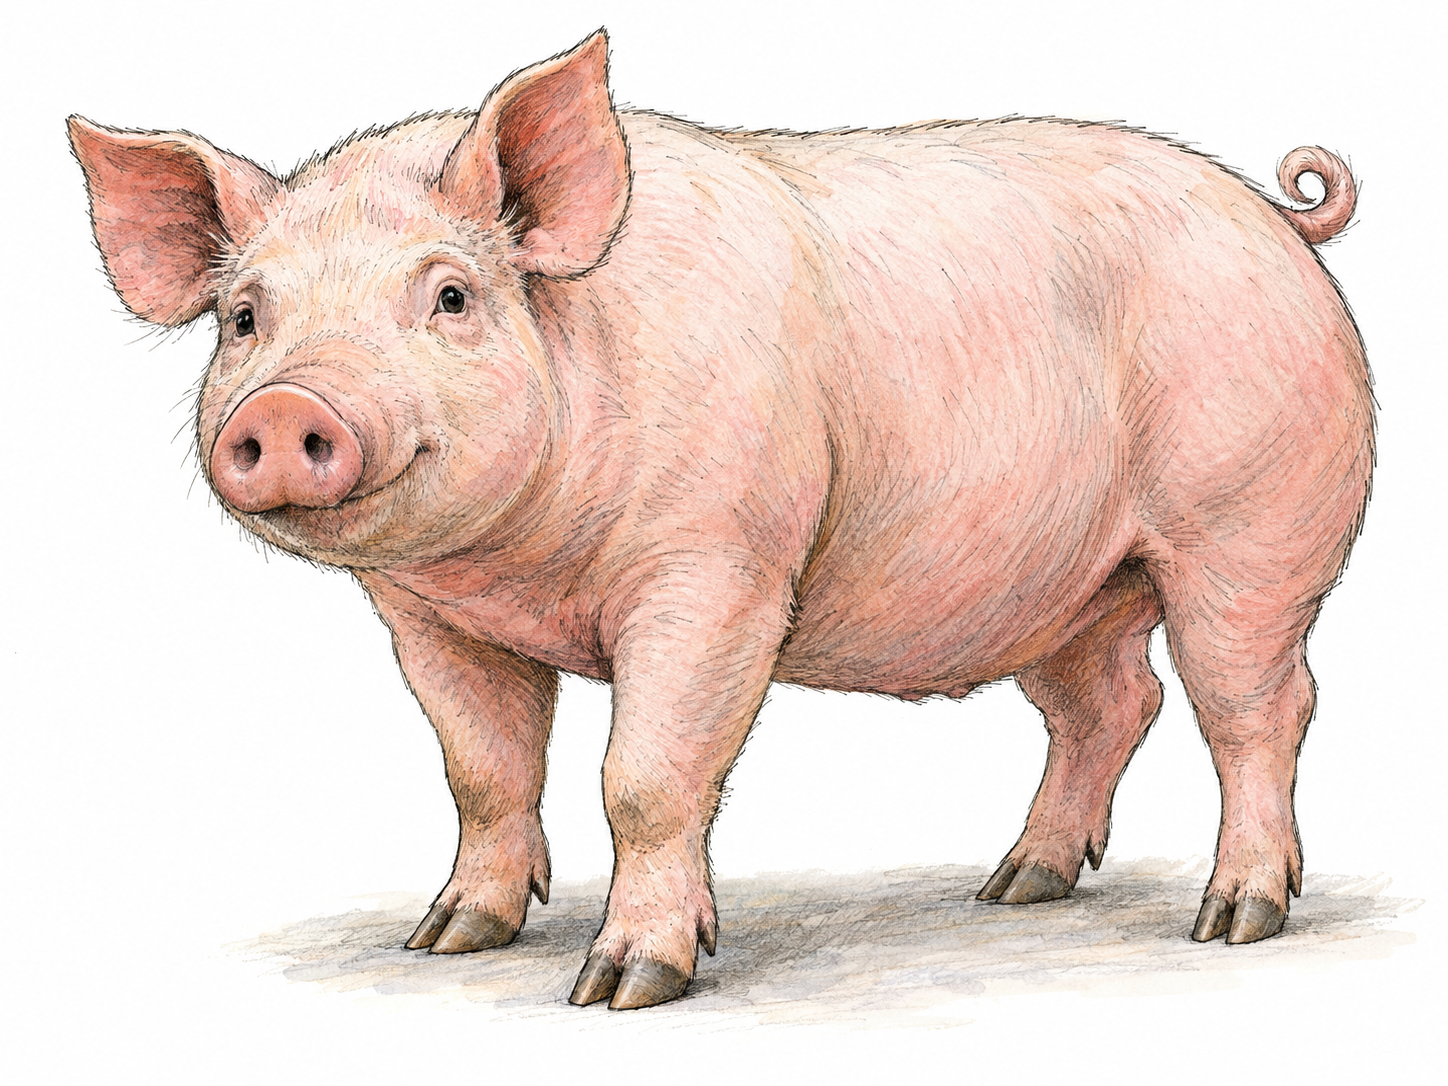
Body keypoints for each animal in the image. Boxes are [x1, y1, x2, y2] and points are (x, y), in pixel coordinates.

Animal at [69, 30, 1371, 1010]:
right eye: (245, 318)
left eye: (449, 295)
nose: (288, 406)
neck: (522, 570)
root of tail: (1279, 219)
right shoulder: (428, 620)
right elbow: (481, 770)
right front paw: (446, 941)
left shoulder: (719, 568)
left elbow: (644, 775)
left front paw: (620, 989)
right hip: (1063, 582)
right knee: (1110, 703)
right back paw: (1015, 887)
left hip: (1250, 524)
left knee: (1258, 705)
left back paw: (1232, 921)